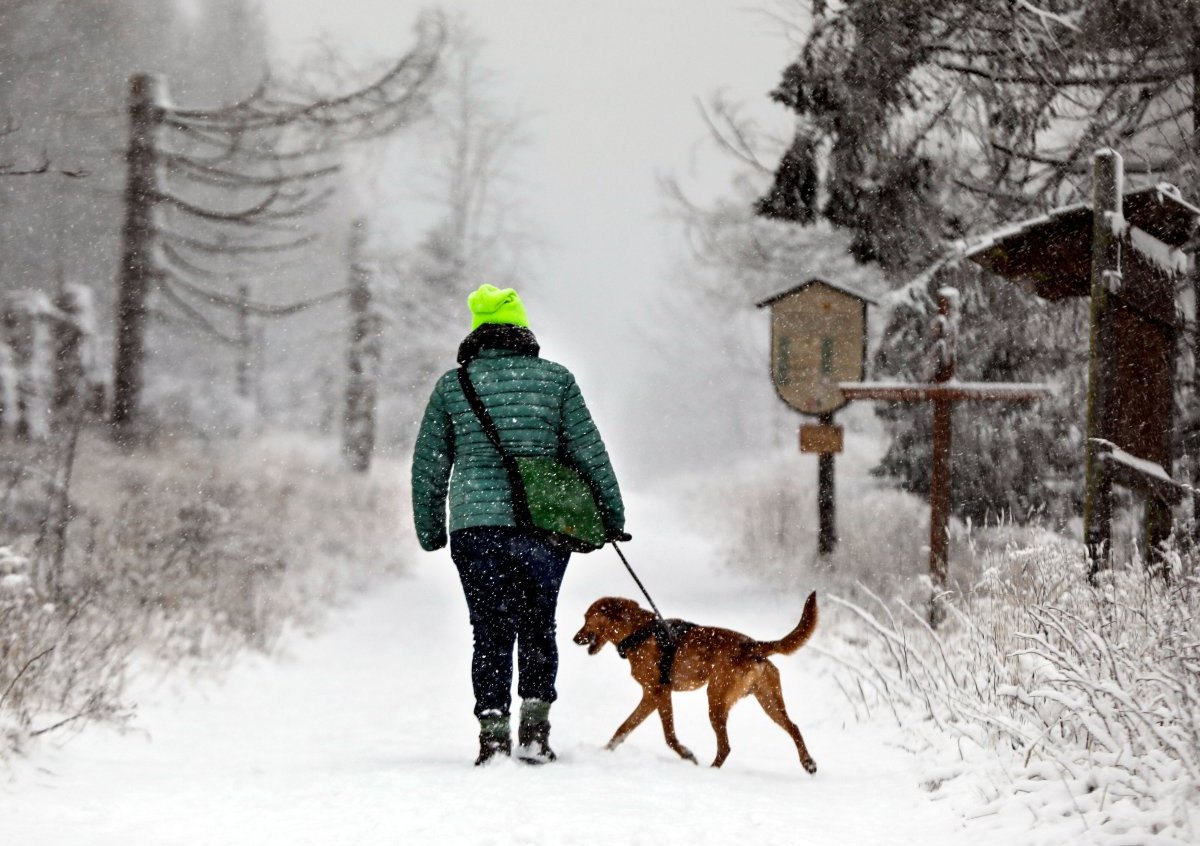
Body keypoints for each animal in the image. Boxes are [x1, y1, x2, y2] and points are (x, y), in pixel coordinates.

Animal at [568, 590, 816, 768]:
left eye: (586, 618)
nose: (574, 638)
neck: (637, 632)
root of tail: (753, 645)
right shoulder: (652, 696)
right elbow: (624, 728)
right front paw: (605, 751)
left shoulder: (658, 692)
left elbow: (668, 736)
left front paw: (687, 755)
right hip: (769, 701)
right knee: (794, 727)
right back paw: (808, 763)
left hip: (716, 700)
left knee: (725, 747)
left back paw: (711, 770)